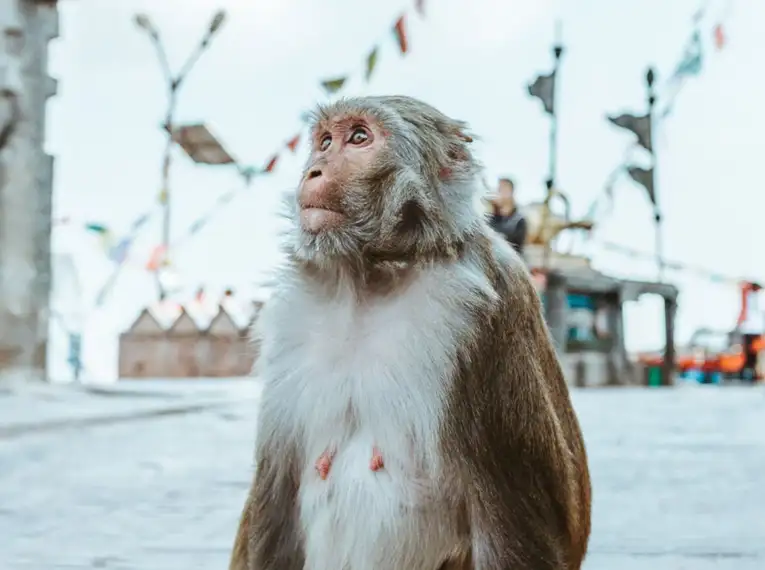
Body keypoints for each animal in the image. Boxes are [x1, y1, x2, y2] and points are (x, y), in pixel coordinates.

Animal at [229, 95, 591, 570]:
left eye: (359, 137)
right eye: (324, 142)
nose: (314, 171)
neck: (368, 280)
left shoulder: (484, 313)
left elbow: (515, 520)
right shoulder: (292, 327)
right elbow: (273, 504)